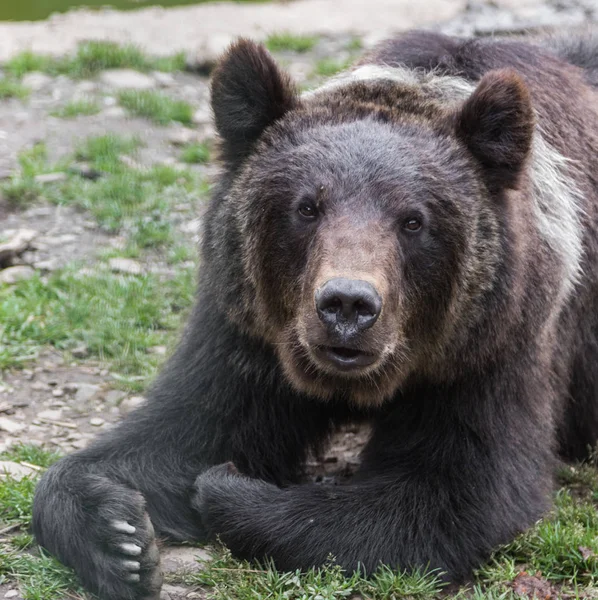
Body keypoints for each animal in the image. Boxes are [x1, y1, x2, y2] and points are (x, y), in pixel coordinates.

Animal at [31, 28, 598, 600]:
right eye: (306, 207)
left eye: (414, 220)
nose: (347, 304)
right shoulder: (250, 331)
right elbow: (181, 430)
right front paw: (121, 537)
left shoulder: (491, 346)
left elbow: (453, 492)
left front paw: (226, 487)